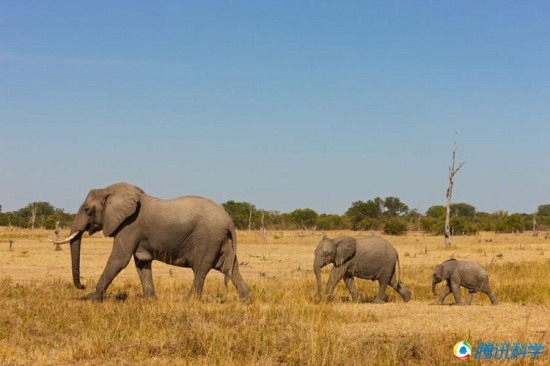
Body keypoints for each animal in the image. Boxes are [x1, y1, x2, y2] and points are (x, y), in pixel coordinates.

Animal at [51, 182, 250, 302]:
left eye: (87, 210)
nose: (83, 286)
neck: (111, 191)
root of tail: (229, 221)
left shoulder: (129, 226)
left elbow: (119, 260)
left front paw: (92, 299)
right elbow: (142, 263)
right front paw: (150, 300)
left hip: (208, 238)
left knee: (201, 269)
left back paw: (189, 301)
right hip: (221, 241)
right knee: (230, 268)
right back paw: (246, 300)